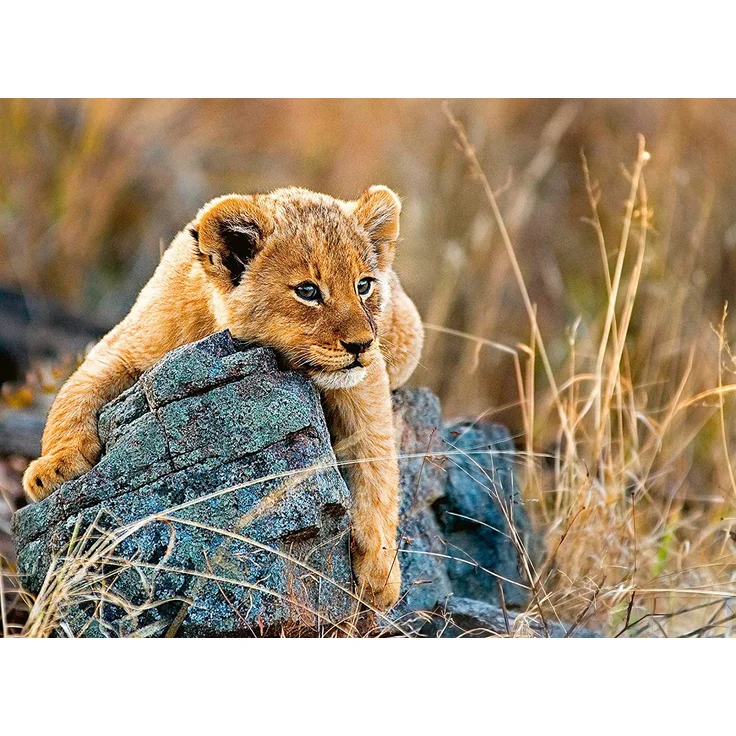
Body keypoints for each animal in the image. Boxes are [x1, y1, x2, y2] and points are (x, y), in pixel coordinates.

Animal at [22, 185, 424, 610]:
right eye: (308, 291)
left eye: (364, 285)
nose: (361, 344)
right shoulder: (124, 346)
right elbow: (73, 393)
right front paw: (52, 469)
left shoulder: (365, 380)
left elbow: (376, 461)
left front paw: (380, 572)